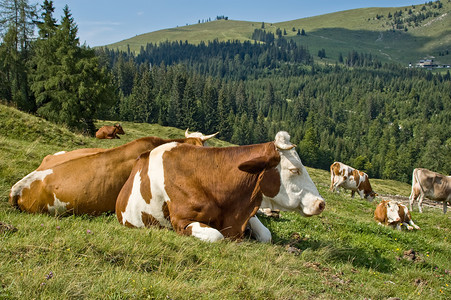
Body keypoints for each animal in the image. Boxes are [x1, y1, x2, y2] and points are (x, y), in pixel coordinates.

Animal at [116, 130, 326, 243]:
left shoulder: (247, 212)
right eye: (294, 169)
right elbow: (217, 236)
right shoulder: (181, 221)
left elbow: (266, 234)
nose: (321, 203)